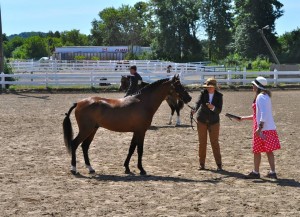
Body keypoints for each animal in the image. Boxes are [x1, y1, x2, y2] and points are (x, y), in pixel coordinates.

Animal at [62, 75, 192, 175]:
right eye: (178, 85)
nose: (189, 98)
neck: (143, 103)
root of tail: (79, 103)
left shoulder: (136, 132)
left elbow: (131, 149)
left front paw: (127, 168)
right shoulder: (141, 132)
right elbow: (139, 150)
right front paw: (142, 170)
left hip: (92, 130)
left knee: (85, 146)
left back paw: (90, 168)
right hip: (86, 130)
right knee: (74, 144)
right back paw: (74, 169)